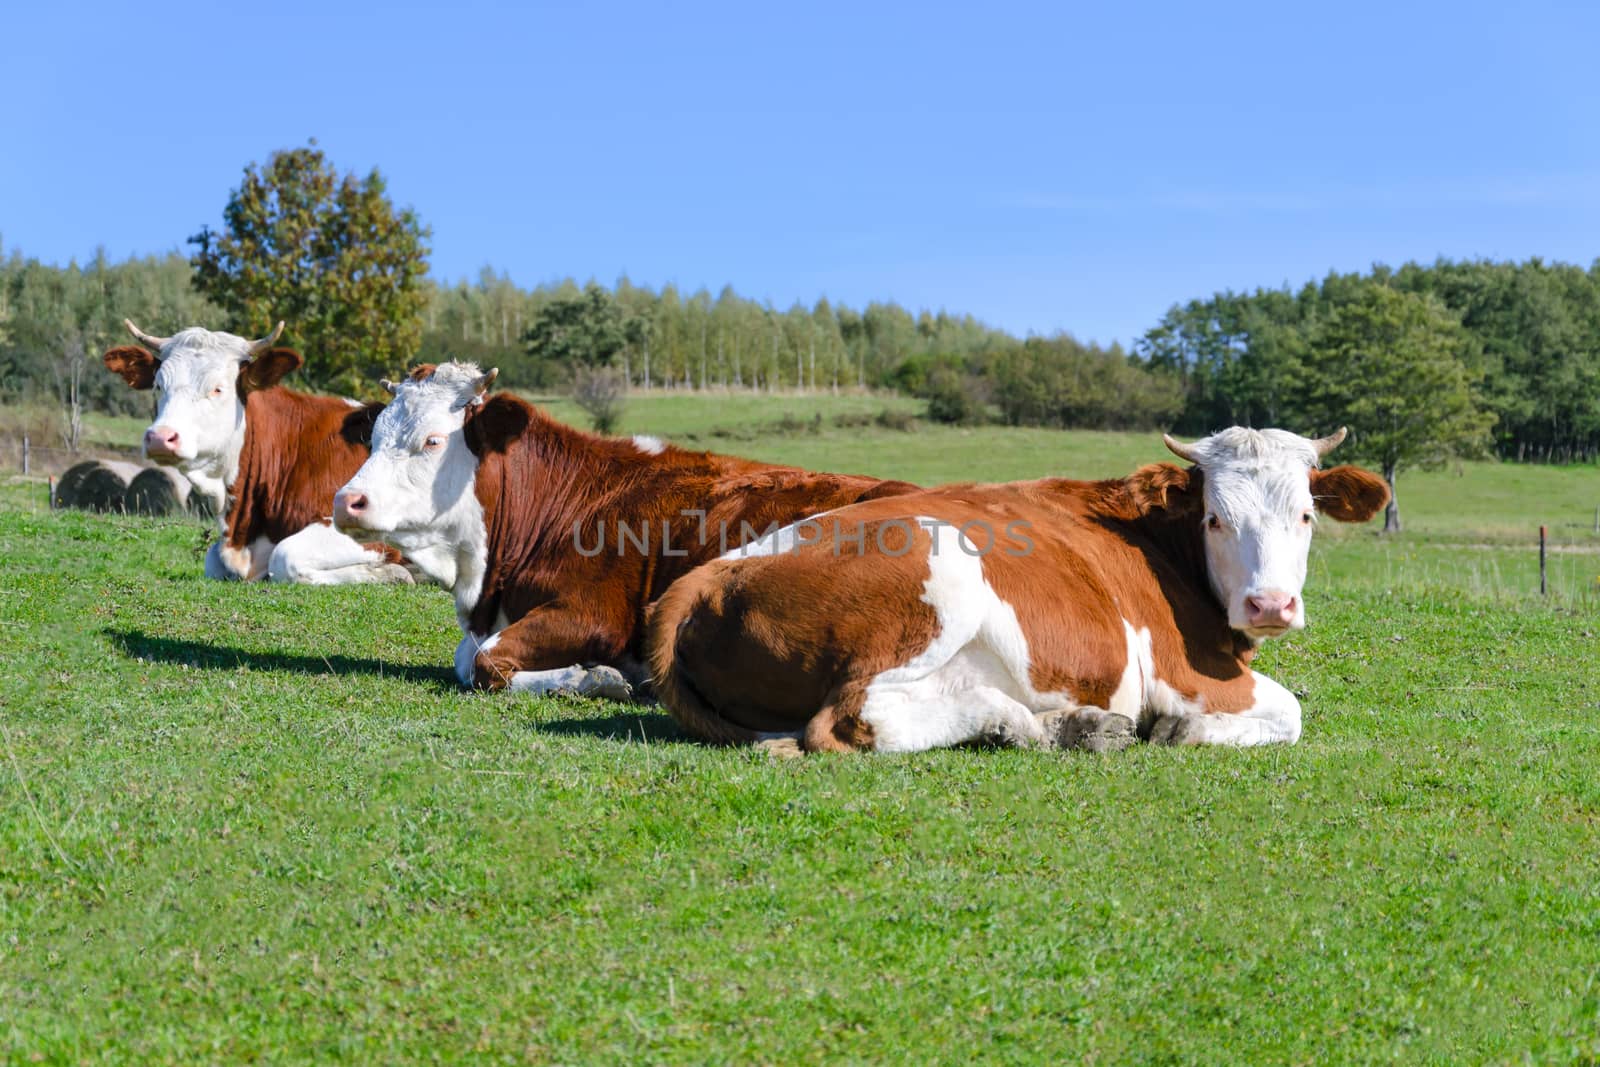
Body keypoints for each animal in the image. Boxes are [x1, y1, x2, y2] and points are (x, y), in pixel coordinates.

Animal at [100, 319, 412, 585]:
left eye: (218, 389)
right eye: (158, 385)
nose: (160, 438)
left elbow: (285, 557)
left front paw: (392, 573)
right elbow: (212, 560)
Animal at [331, 363, 921, 703]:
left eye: (432, 441)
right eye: (374, 437)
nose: (346, 501)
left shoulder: (595, 612)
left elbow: (485, 661)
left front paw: (594, 677)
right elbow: (465, 657)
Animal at [643, 422, 1395, 755]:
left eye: (1305, 515)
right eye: (1216, 517)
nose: (1270, 605)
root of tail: (712, 572)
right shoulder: (1192, 672)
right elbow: (1289, 712)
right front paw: (1183, 728)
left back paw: (1069, 724)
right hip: (938, 577)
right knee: (853, 721)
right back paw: (1028, 723)